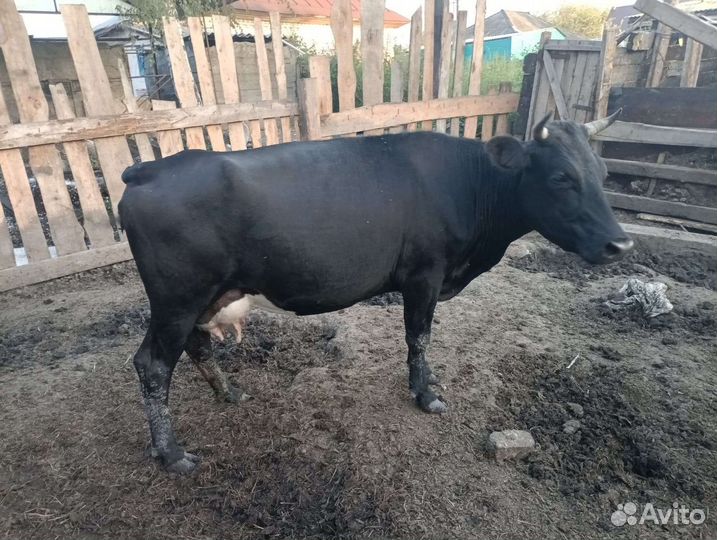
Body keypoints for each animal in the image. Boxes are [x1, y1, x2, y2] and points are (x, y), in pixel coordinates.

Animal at [118, 112, 632, 473]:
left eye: (604, 171)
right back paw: (172, 454)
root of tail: (148, 170)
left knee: (196, 346)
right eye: (561, 177)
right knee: (152, 365)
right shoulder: (424, 274)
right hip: (177, 298)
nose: (621, 244)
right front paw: (426, 394)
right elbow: (419, 336)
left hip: (199, 299)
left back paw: (230, 393)